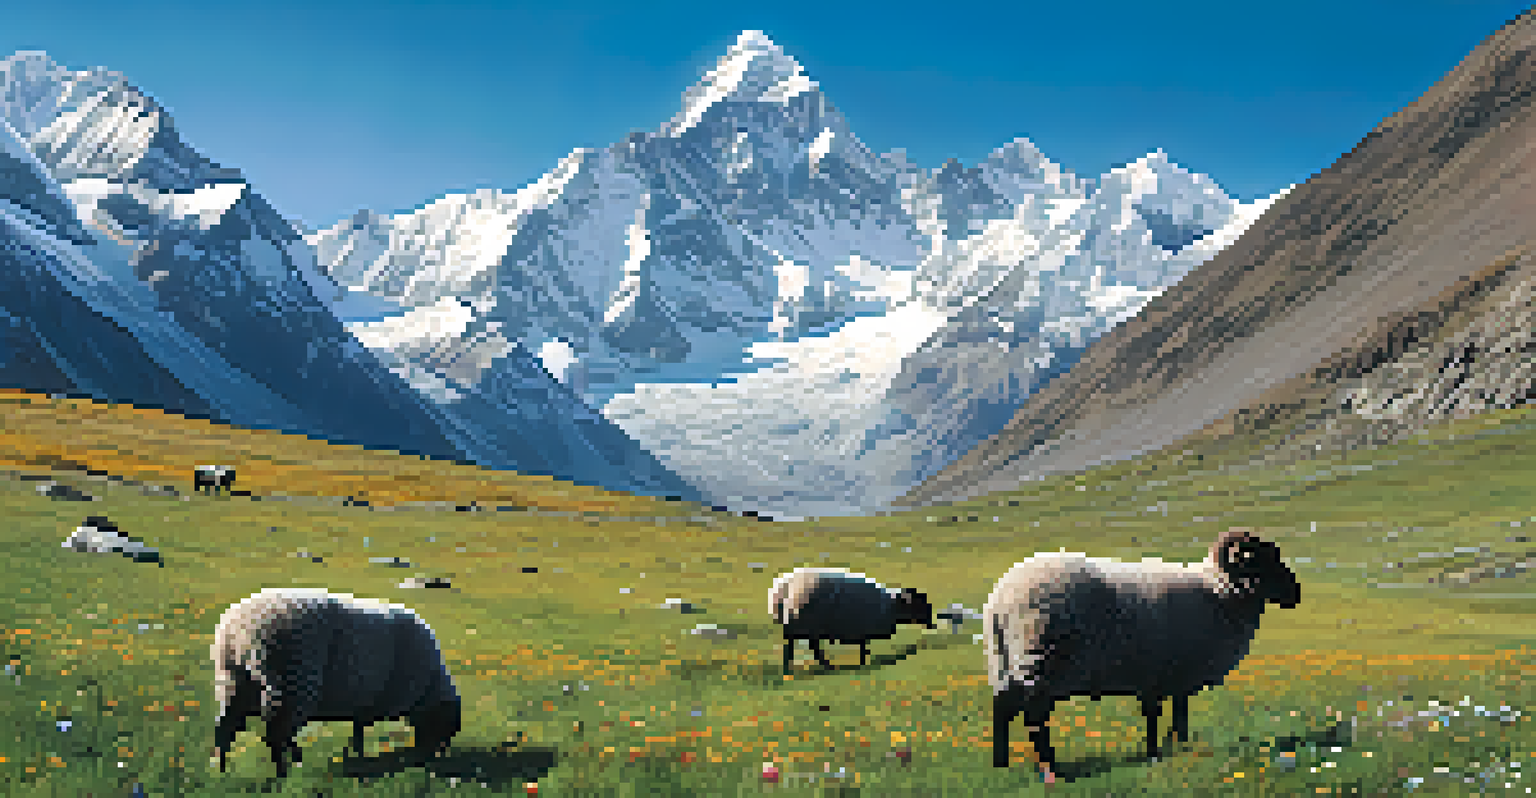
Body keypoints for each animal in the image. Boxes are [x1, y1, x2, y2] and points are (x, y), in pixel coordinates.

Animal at [211, 587, 461, 778]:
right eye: (445, 724)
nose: (435, 757)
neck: (428, 687)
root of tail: (238, 630)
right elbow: (360, 729)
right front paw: (358, 755)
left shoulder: (365, 700)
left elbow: (358, 728)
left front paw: (355, 754)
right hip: (291, 683)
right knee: (275, 734)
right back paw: (283, 773)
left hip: (232, 679)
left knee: (225, 727)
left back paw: (221, 772)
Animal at [768, 567, 935, 673]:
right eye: (919, 604)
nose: (931, 624)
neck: (891, 607)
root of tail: (781, 589)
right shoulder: (863, 627)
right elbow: (863, 647)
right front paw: (863, 663)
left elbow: (863, 646)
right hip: (803, 623)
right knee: (800, 648)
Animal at [985, 529, 1300, 779]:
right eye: (1261, 560)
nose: (1295, 594)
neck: (1220, 591)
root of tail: (999, 600)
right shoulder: (1172, 669)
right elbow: (1168, 712)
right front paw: (1168, 749)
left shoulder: (1162, 673)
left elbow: (1165, 713)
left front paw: (1167, 749)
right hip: (1041, 661)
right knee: (1034, 717)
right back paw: (1052, 769)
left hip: (1003, 662)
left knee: (1002, 707)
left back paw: (1001, 764)